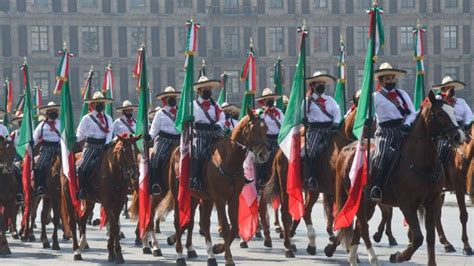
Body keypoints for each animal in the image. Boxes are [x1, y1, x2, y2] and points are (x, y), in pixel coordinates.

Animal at [60, 134, 140, 262]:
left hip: (89, 202)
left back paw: (83, 244)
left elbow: (113, 226)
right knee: (72, 222)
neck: (113, 172)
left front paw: (112, 253)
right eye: (125, 151)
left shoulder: (119, 202)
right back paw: (77, 251)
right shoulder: (107, 203)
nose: (135, 174)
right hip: (69, 199)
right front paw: (118, 254)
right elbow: (114, 226)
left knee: (82, 219)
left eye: (136, 150)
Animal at [157, 108, 268, 266]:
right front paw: (229, 258)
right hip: (177, 193)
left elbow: (235, 226)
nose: (264, 154)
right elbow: (226, 227)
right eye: (253, 129)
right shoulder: (220, 199)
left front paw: (218, 248)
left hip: (199, 197)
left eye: (266, 129)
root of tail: (177, 150)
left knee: (201, 223)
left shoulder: (233, 198)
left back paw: (208, 255)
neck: (229, 160)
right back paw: (179, 255)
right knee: (179, 221)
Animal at [334, 90, 462, 264]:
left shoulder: (433, 202)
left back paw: (353, 258)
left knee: (359, 227)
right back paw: (372, 258)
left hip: (368, 202)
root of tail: (347, 149)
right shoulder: (407, 205)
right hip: (358, 199)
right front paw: (398, 256)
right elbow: (418, 238)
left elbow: (430, 238)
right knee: (363, 227)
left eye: (453, 111)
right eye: (439, 113)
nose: (458, 136)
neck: (422, 162)